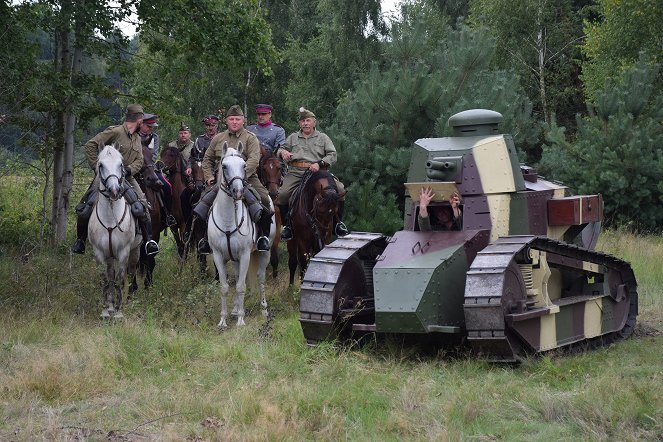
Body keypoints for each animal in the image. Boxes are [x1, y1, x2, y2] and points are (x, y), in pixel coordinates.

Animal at [87, 145, 142, 318]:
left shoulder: (123, 252)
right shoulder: (99, 252)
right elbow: (106, 279)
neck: (111, 218)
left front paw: (118, 312)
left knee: (131, 272)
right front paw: (107, 309)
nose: (114, 191)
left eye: (121, 165)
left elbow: (120, 279)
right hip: (110, 255)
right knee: (111, 274)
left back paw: (129, 298)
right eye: (101, 165)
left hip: (135, 250)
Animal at [210, 147, 278, 326]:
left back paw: (263, 309)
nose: (238, 191)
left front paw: (241, 319)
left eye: (244, 165)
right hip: (234, 259)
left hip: (265, 251)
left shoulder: (245, 254)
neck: (228, 220)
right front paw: (223, 319)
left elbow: (241, 286)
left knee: (260, 278)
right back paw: (234, 308)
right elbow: (224, 287)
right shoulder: (218, 255)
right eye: (224, 165)